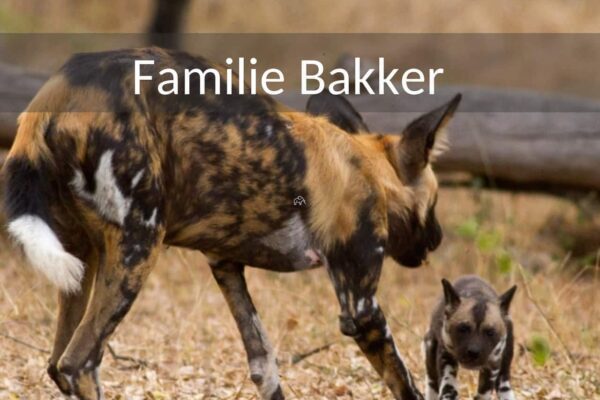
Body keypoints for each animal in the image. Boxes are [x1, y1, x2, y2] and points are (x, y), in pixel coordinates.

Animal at [2, 47, 460, 400]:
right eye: (436, 202)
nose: (438, 239)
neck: (366, 168)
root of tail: (57, 93)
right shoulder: (361, 309)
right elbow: (404, 382)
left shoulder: (225, 266)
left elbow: (264, 362)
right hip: (138, 249)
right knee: (78, 362)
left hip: (81, 264)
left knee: (58, 363)